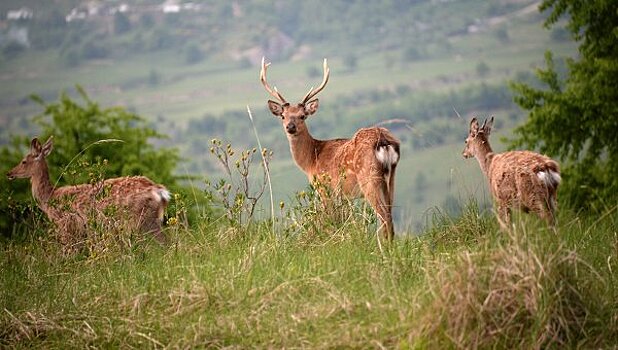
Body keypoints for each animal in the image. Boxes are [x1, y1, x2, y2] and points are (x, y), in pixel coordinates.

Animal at [7, 135, 171, 247]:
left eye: (23, 161)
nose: (9, 173)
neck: (49, 198)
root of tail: (158, 190)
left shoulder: (65, 224)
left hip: (140, 219)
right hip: (150, 218)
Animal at [258, 58, 400, 241]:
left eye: (302, 116)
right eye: (283, 116)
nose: (290, 127)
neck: (311, 160)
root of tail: (384, 141)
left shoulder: (324, 187)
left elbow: (330, 219)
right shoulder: (342, 195)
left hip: (368, 176)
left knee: (384, 215)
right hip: (391, 175)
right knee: (390, 213)